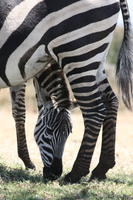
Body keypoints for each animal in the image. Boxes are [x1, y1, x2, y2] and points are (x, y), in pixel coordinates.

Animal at [0, 0, 133, 183]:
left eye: (69, 133)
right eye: (49, 131)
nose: (55, 173)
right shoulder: (18, 71)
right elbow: (19, 113)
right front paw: (27, 161)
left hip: (77, 53)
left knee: (94, 110)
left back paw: (76, 173)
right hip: (96, 58)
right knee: (111, 101)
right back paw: (101, 169)